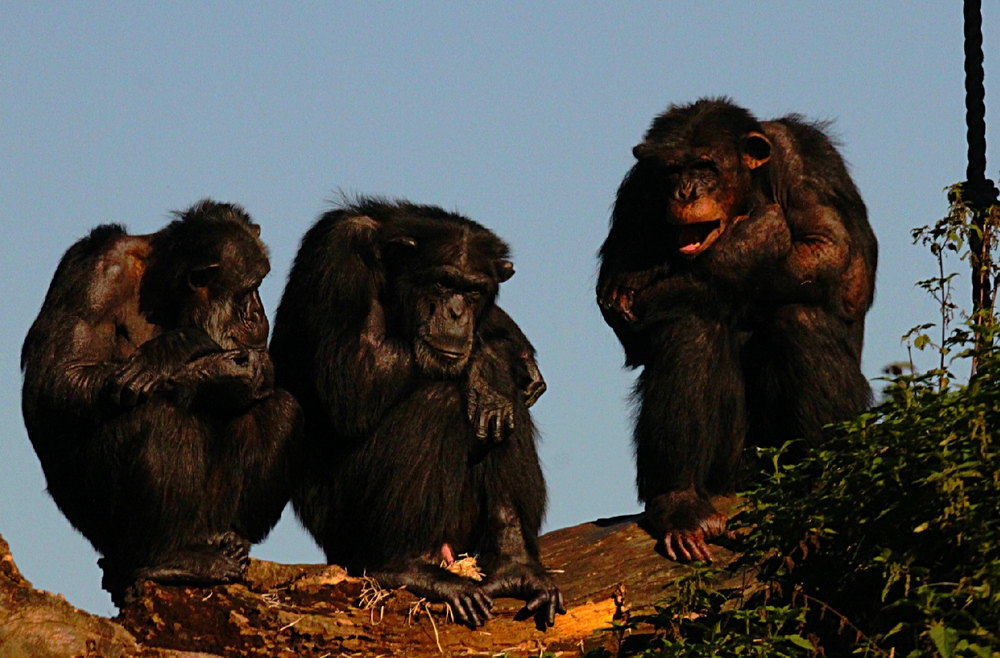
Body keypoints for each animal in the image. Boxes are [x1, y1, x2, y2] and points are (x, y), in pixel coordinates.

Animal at [21, 200, 298, 604]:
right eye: (250, 289)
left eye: (260, 285)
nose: (258, 313)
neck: (165, 293)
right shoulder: (96, 275)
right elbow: (55, 379)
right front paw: (186, 354)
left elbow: (263, 370)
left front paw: (200, 364)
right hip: (100, 527)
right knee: (158, 415)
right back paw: (169, 559)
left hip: (210, 519)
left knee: (279, 408)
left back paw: (233, 540)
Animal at [270, 197, 568, 628]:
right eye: (443, 283)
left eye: (473, 290)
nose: (457, 313)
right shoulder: (338, 254)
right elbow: (353, 373)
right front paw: (489, 360)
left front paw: (500, 353)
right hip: (345, 531)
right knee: (438, 399)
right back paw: (405, 566)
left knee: (505, 412)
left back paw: (516, 565)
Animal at [596, 100, 880, 560]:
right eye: (672, 171)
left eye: (706, 166)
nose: (686, 192)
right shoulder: (636, 193)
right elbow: (626, 318)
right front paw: (754, 238)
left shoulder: (806, 159)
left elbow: (833, 252)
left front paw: (752, 239)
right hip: (726, 475)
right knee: (690, 327)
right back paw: (681, 505)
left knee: (799, 319)